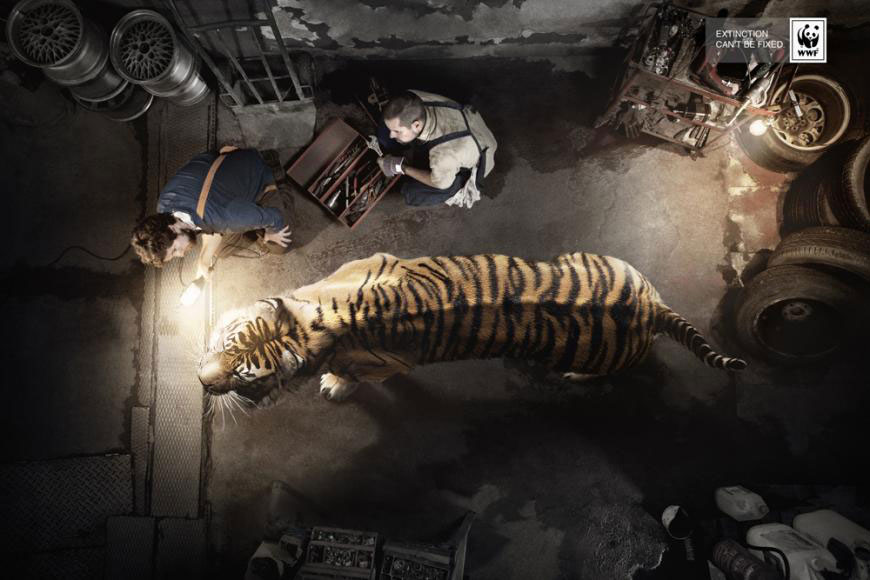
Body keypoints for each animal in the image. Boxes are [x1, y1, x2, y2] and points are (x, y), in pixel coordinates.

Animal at [198, 252, 746, 404]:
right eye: (226, 342)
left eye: (245, 376)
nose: (201, 383)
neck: (311, 326)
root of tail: (652, 306)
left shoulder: (388, 364)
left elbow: (353, 375)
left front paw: (334, 385)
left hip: (594, 355)